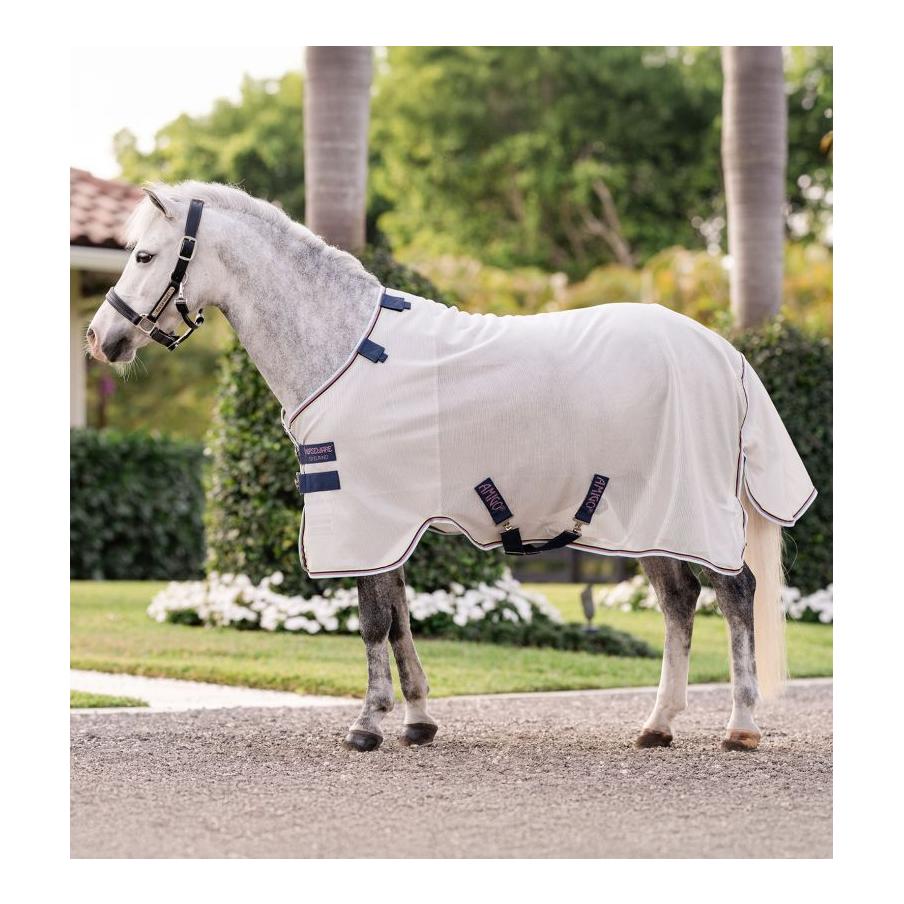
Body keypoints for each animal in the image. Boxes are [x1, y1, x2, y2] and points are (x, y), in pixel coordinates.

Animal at [86, 182, 814, 754]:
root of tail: (723, 352)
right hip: (653, 518)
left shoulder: (366, 516)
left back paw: (741, 725)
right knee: (679, 604)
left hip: (691, 512)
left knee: (736, 593)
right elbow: (400, 615)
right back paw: (657, 725)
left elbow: (374, 621)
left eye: (144, 255)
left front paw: (367, 725)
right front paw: (416, 720)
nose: (100, 338)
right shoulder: (389, 523)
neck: (344, 346)